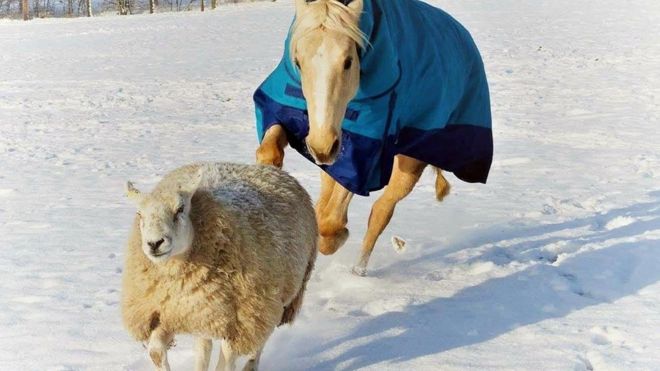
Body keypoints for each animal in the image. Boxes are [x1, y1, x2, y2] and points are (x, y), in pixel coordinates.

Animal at [124, 163, 320, 371]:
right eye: (139, 214)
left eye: (180, 209)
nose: (154, 243)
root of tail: (272, 169)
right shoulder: (168, 313)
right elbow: (156, 352)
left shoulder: (241, 322)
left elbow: (226, 361)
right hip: (207, 313)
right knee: (204, 345)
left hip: (271, 303)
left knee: (259, 339)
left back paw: (251, 365)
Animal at [254, 0, 496, 276]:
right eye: (298, 61)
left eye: (348, 61)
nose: (322, 146)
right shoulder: (288, 113)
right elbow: (269, 151)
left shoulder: (367, 148)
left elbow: (333, 219)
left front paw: (336, 236)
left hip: (410, 160)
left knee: (381, 210)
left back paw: (358, 270)